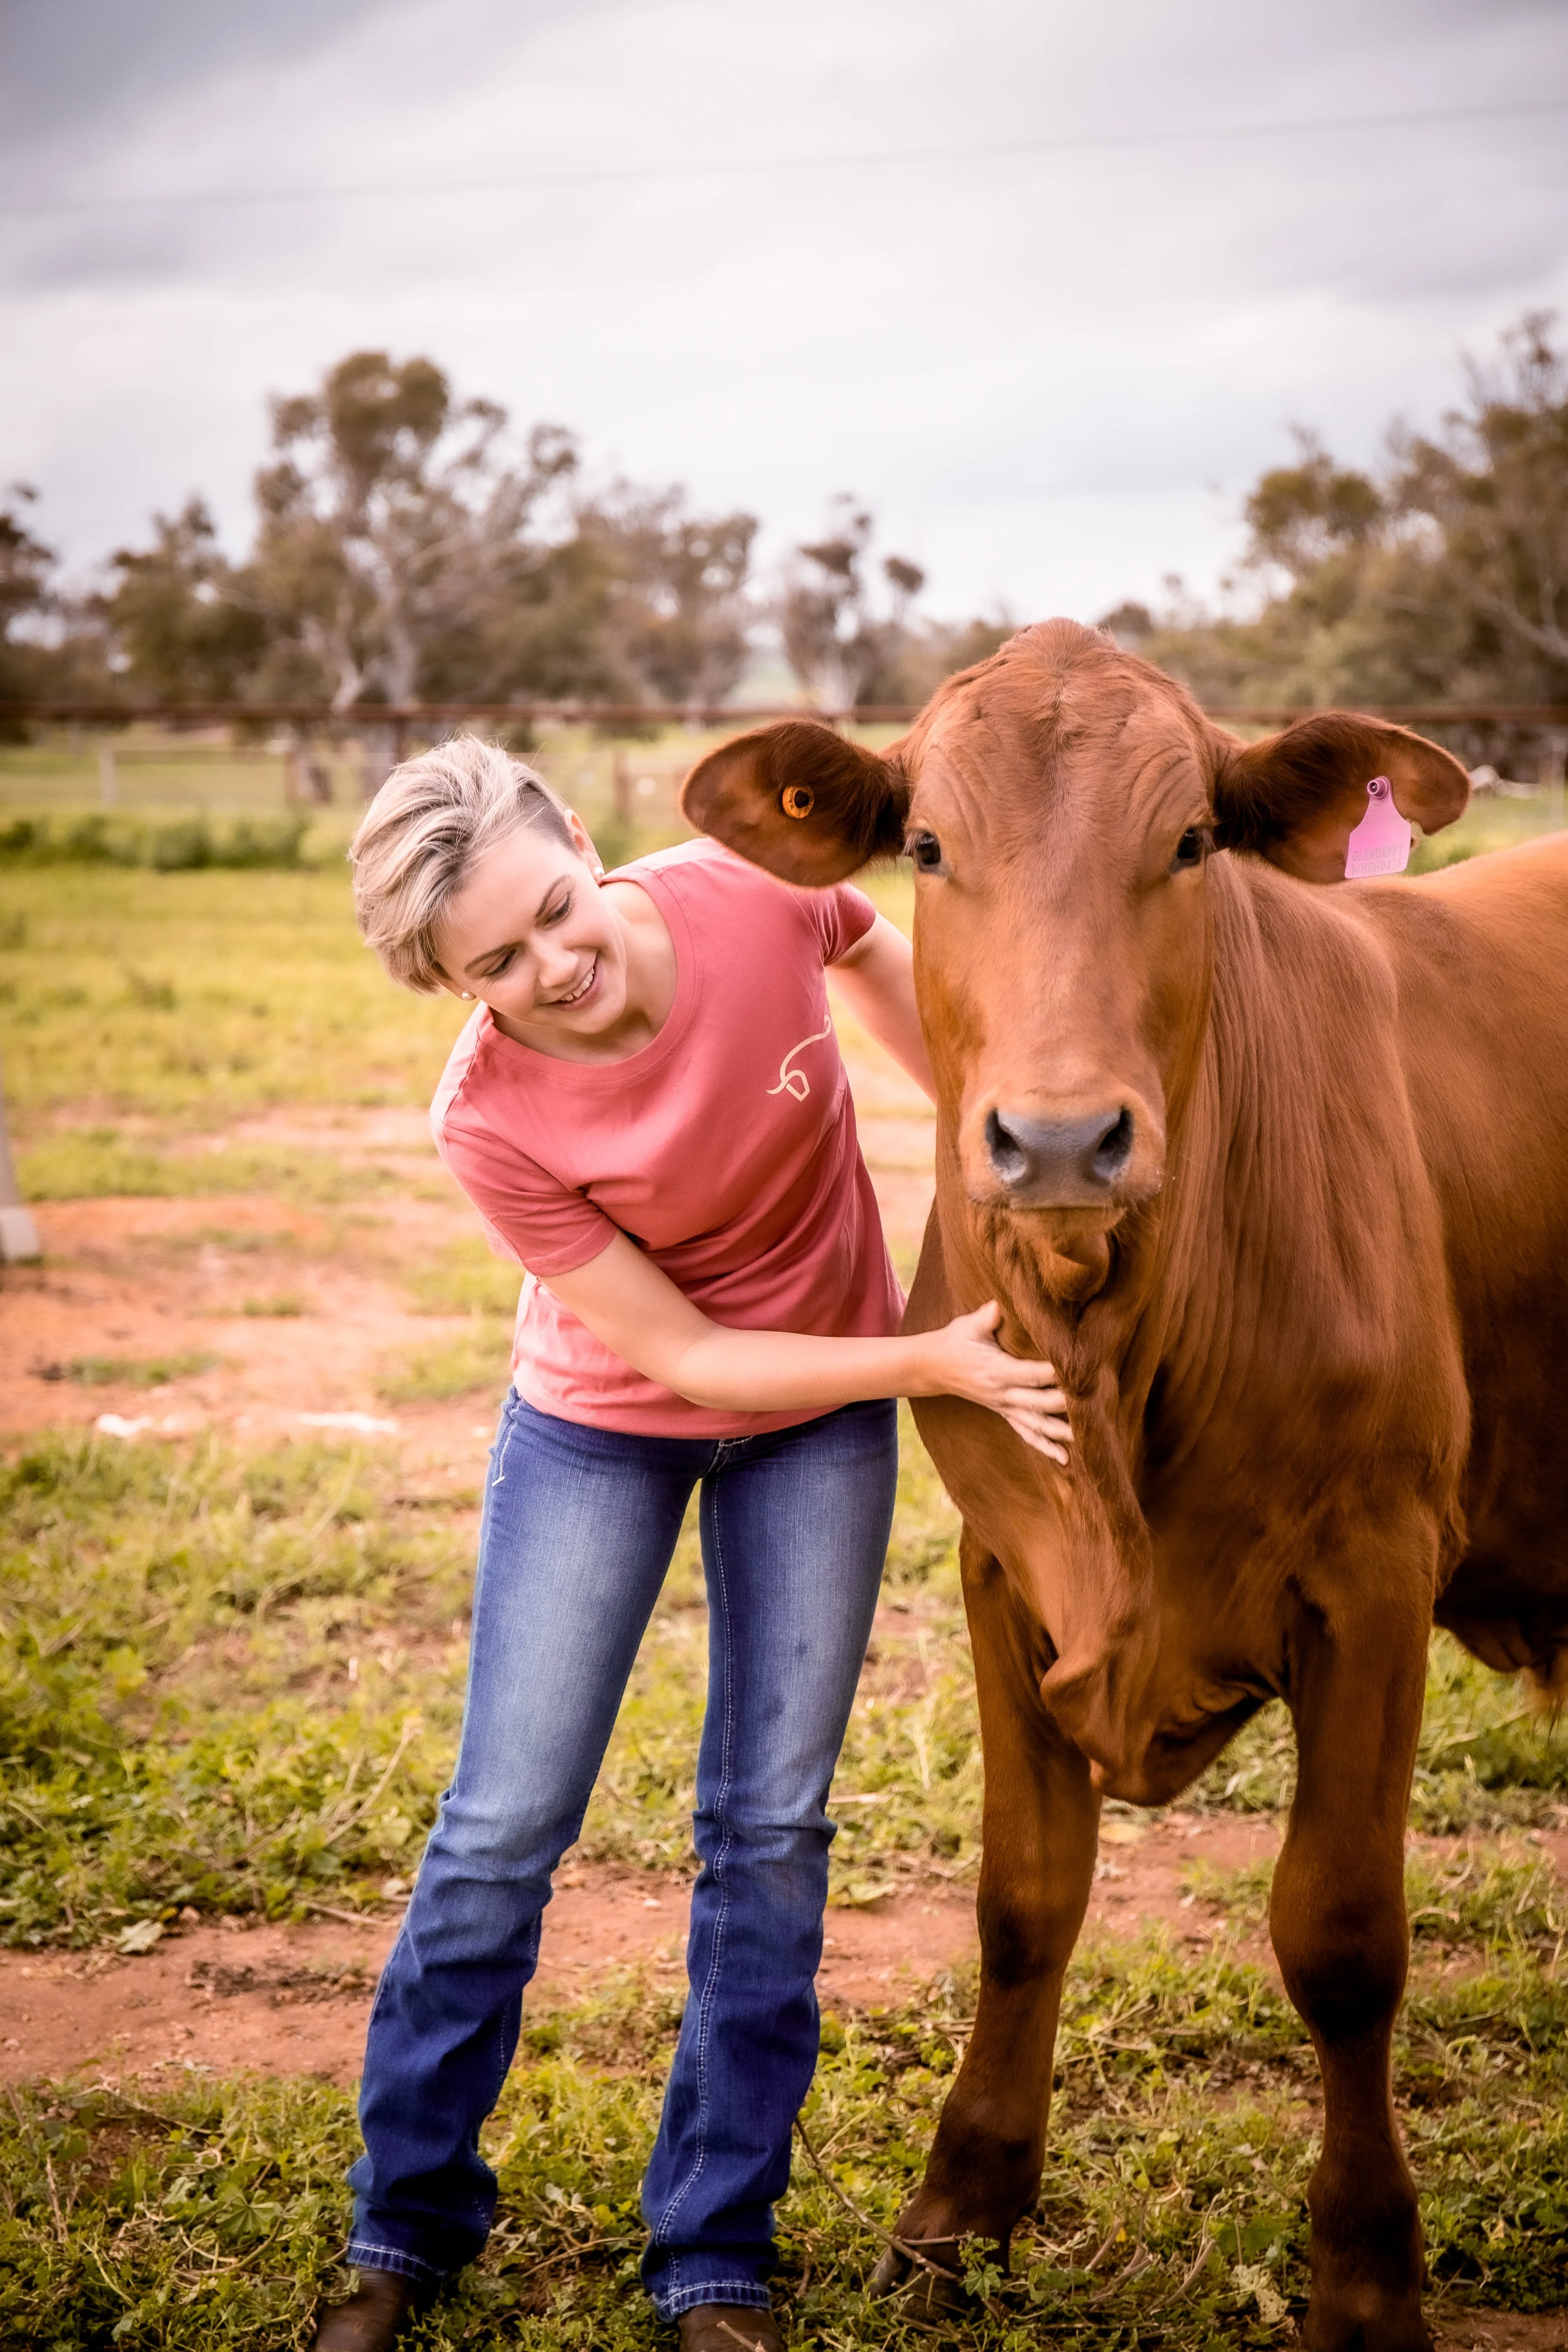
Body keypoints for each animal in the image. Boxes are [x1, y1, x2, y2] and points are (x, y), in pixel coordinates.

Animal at [682, 621, 1568, 2352]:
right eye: (926, 846)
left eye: (1188, 841)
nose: (1054, 1139)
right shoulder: (995, 1567)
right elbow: (1022, 1897)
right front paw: (956, 2205)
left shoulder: (1372, 1573)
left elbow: (1338, 1934)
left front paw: (1365, 2273)